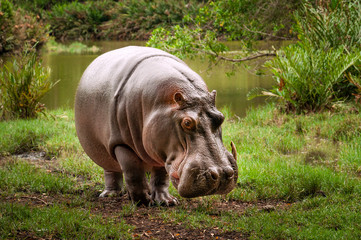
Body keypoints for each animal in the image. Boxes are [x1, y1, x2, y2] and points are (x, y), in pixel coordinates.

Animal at [74, 47, 238, 206]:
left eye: (221, 117)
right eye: (187, 122)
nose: (222, 174)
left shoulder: (162, 150)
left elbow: (161, 178)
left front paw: (167, 202)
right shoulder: (122, 144)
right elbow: (133, 174)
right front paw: (143, 202)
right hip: (105, 153)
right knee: (112, 171)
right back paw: (110, 195)